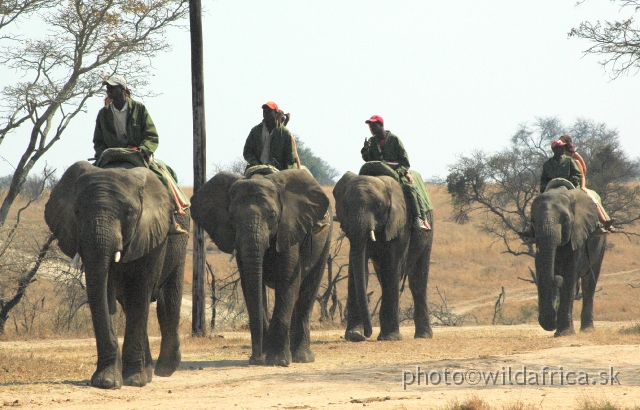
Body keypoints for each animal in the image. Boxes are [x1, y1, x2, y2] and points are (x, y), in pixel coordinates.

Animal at [45, 160, 188, 388]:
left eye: (129, 213)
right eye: (77, 211)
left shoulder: (153, 232)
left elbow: (141, 289)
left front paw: (133, 381)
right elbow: (106, 291)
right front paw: (107, 381)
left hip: (179, 241)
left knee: (167, 304)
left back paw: (165, 369)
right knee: (130, 305)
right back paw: (148, 372)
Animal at [189, 168, 330, 366]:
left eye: (272, 216)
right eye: (232, 217)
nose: (255, 358)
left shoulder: (289, 227)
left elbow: (287, 280)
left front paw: (278, 361)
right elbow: (251, 285)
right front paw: (263, 358)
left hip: (324, 238)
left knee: (308, 289)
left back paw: (302, 358)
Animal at [332, 171, 432, 342]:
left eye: (378, 206)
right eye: (344, 206)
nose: (367, 333)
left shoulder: (400, 223)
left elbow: (392, 267)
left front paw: (390, 337)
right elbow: (358, 268)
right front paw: (354, 335)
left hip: (428, 230)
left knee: (417, 280)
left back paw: (423, 336)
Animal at [528, 179, 604, 336]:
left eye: (566, 220)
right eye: (533, 221)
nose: (557, 278)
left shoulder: (578, 231)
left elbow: (570, 272)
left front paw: (563, 333)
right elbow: (541, 269)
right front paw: (552, 325)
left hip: (601, 242)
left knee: (589, 282)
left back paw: (587, 330)